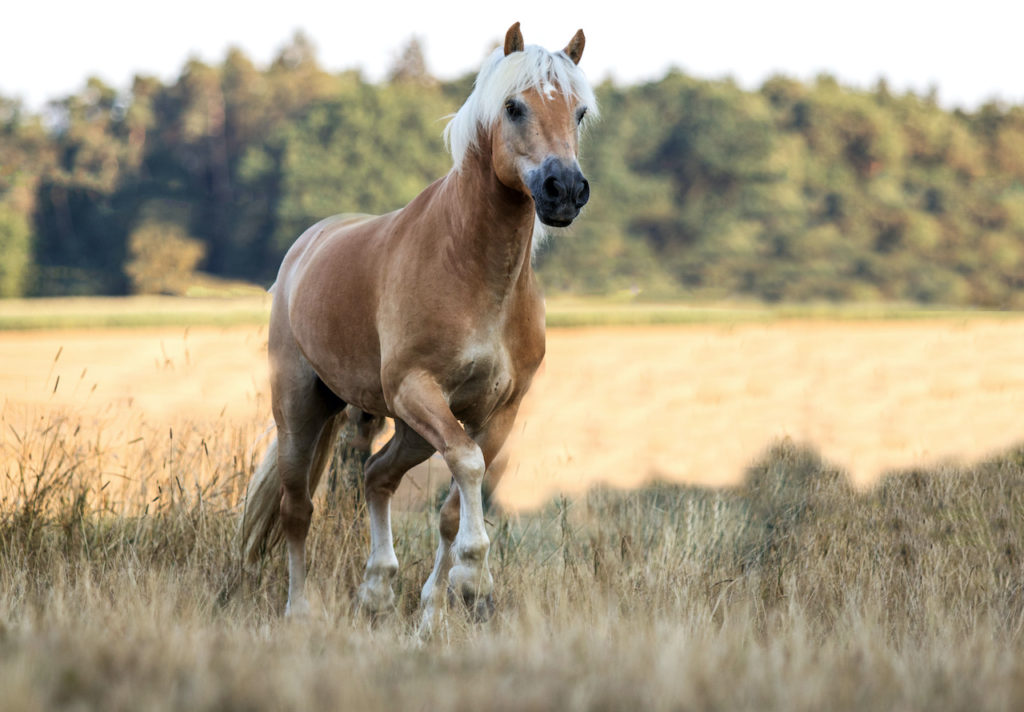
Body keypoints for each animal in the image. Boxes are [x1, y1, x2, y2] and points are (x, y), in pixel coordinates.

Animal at [239, 22, 598, 631]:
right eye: (514, 106)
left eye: (578, 112)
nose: (565, 190)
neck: (472, 269)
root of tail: (305, 248)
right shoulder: (417, 389)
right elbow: (467, 467)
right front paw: (474, 577)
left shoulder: (496, 410)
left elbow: (456, 501)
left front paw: (435, 609)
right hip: (301, 408)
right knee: (297, 507)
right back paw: (301, 610)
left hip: (406, 427)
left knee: (375, 475)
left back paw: (378, 589)